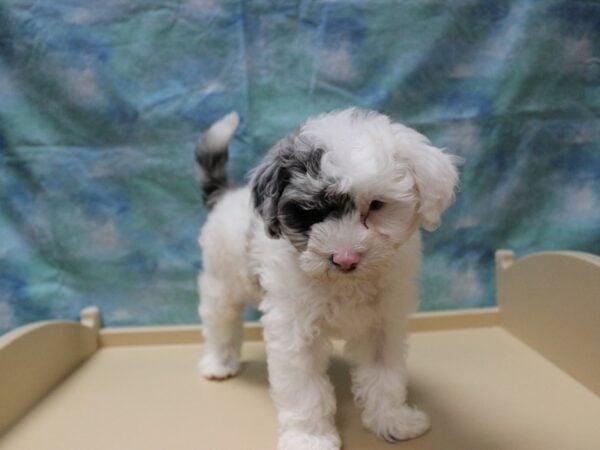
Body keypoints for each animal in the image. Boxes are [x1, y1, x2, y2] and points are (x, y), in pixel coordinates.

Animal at [197, 109, 460, 450]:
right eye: (309, 211)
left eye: (376, 205)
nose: (345, 259)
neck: (344, 285)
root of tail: (228, 195)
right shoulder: (295, 328)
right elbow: (305, 388)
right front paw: (309, 437)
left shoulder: (383, 322)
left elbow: (384, 374)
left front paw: (392, 420)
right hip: (222, 279)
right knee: (219, 320)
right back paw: (218, 363)